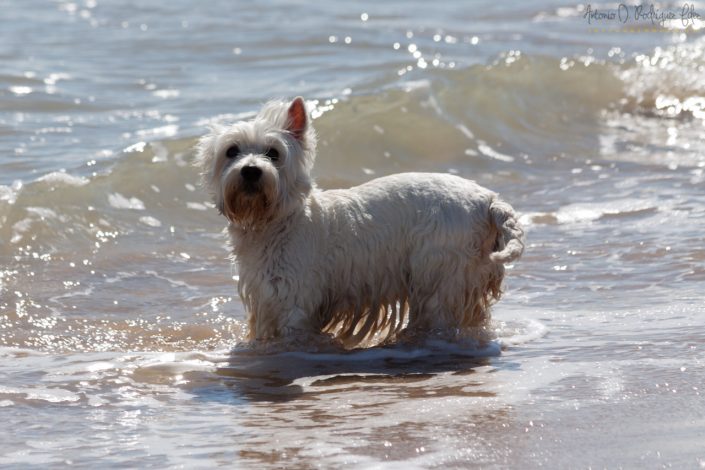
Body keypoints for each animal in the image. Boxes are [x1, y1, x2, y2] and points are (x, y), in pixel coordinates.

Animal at [194, 97, 524, 346]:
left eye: (273, 153)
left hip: (440, 274)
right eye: (231, 151)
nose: (251, 171)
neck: (276, 222)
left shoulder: (294, 300)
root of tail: (488, 201)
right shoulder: (265, 299)